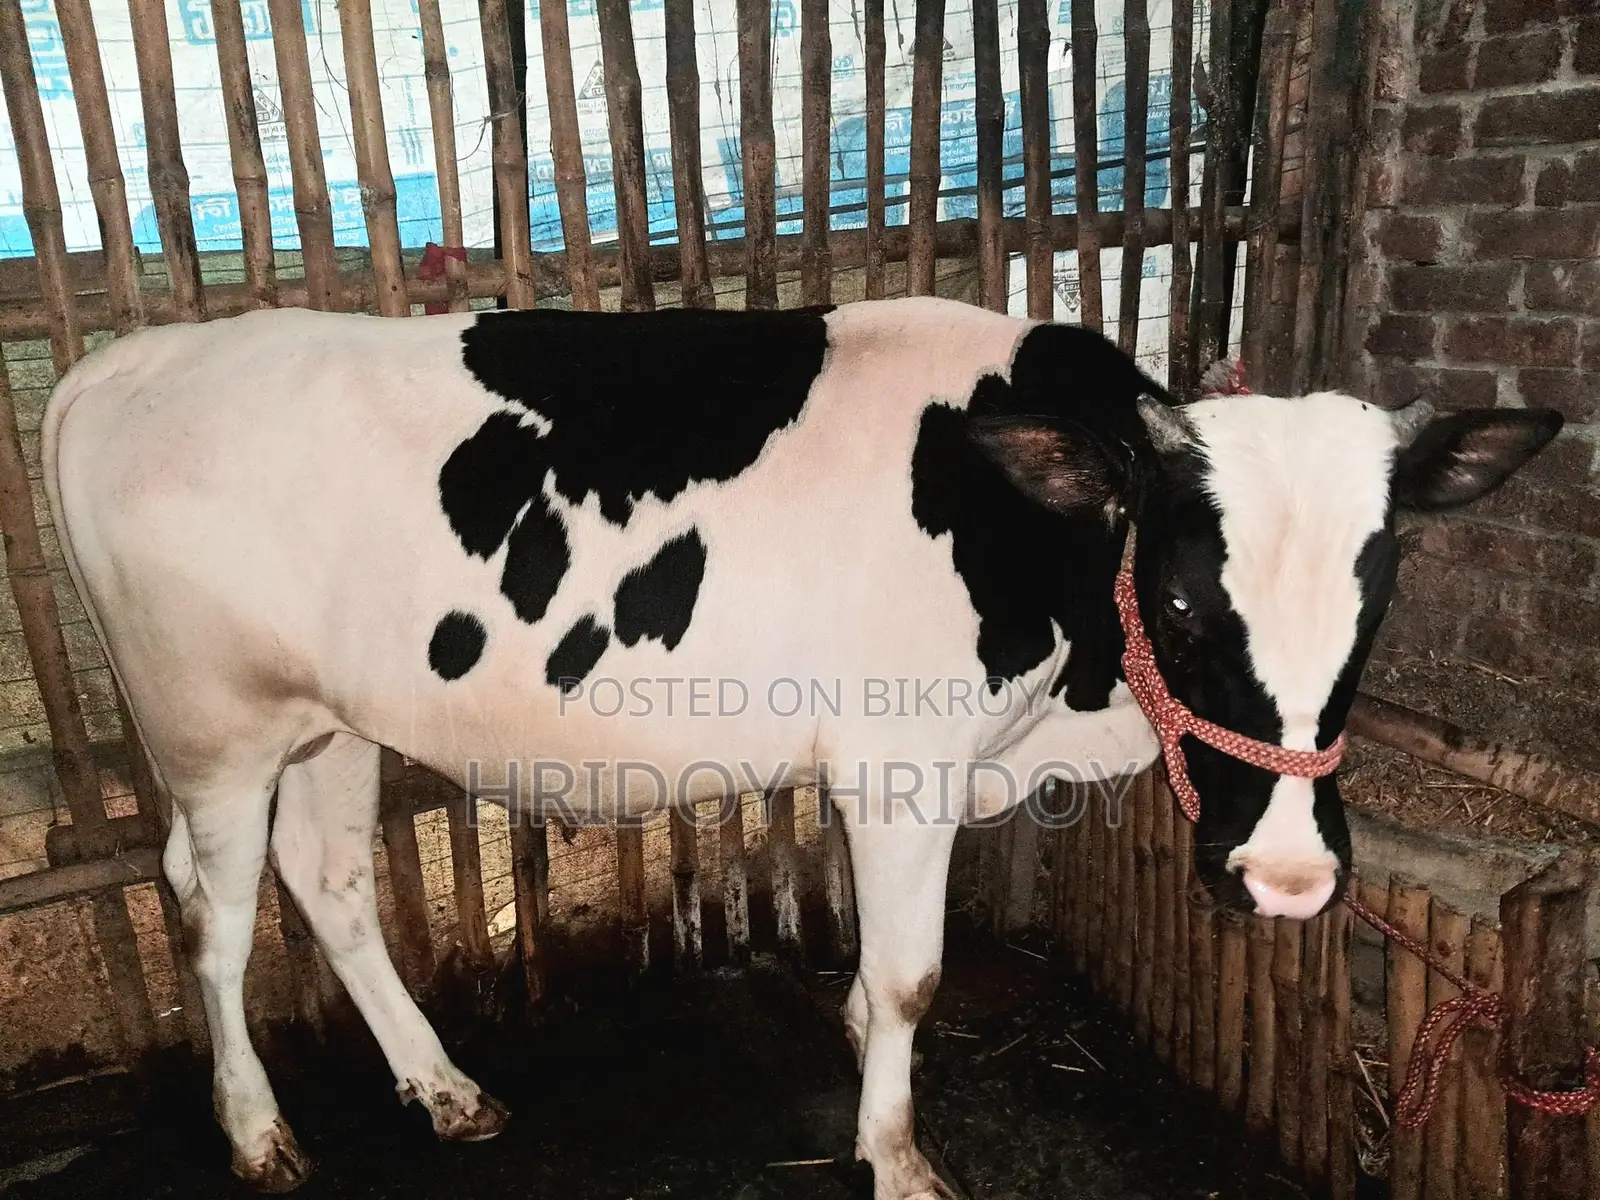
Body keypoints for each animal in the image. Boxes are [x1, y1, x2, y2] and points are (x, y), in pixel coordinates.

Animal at [42, 296, 1560, 1198]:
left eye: (1377, 597)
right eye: (1186, 602)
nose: (1290, 880)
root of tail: (133, 357)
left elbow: (881, 981)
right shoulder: (901, 760)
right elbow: (908, 976)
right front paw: (895, 1156)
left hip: (329, 723)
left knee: (332, 883)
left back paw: (446, 1089)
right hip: (211, 725)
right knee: (211, 916)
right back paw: (256, 1132)